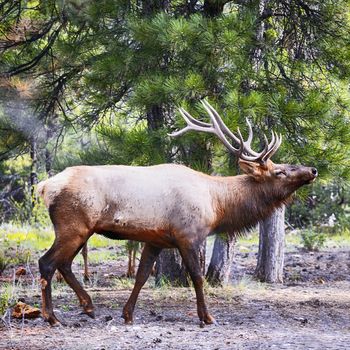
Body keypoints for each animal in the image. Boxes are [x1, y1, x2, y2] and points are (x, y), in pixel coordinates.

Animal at [37, 100, 318, 326]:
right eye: (279, 171)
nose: (313, 170)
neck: (217, 205)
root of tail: (44, 187)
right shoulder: (188, 235)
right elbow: (197, 277)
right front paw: (207, 317)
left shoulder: (156, 240)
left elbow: (141, 276)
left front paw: (128, 314)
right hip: (74, 225)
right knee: (47, 262)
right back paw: (53, 317)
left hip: (80, 230)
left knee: (64, 263)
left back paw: (88, 306)